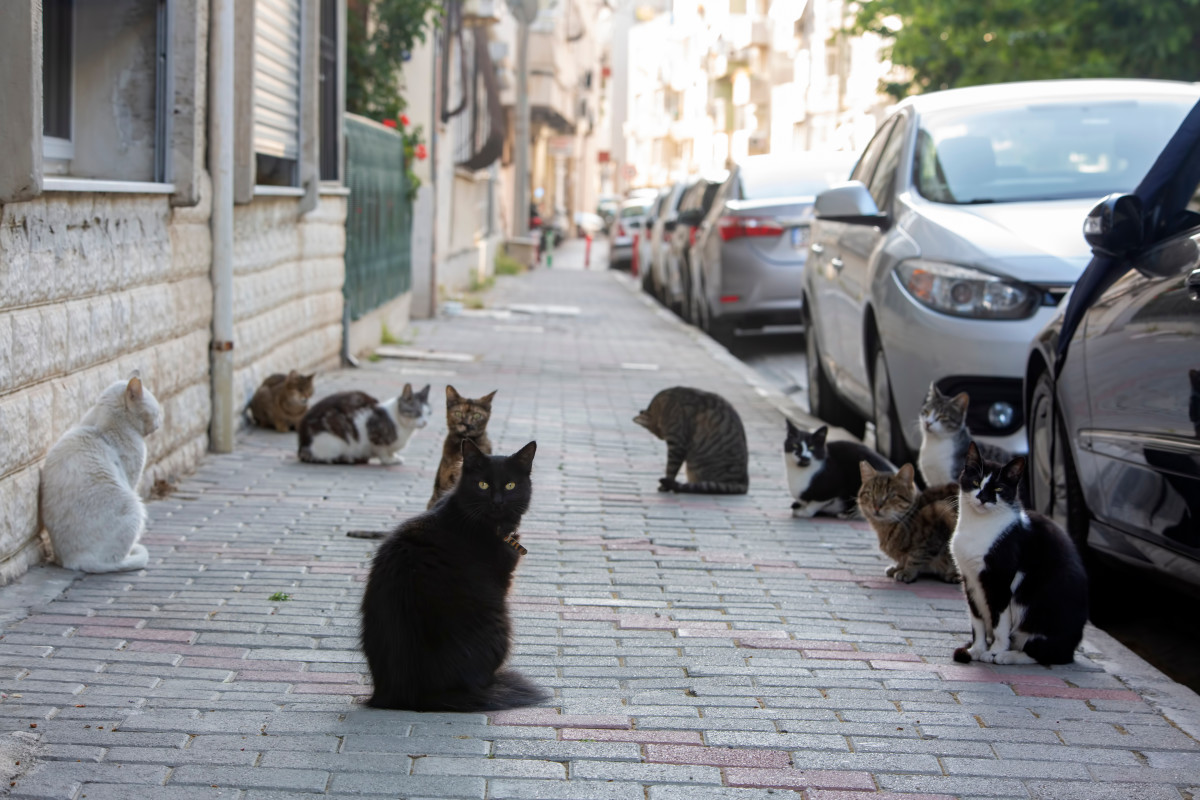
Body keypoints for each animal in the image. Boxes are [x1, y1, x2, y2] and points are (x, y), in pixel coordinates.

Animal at [39, 371, 162, 573]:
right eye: (158, 412)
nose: (160, 421)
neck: (102, 424)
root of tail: (75, 561)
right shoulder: (132, 478)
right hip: (135, 507)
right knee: (114, 561)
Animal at [296, 383, 432, 465]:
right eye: (417, 413)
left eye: (429, 413)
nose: (425, 422)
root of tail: (302, 444)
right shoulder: (374, 434)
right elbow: (382, 451)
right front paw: (388, 460)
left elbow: (391, 451)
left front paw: (394, 456)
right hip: (333, 441)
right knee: (323, 457)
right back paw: (348, 458)